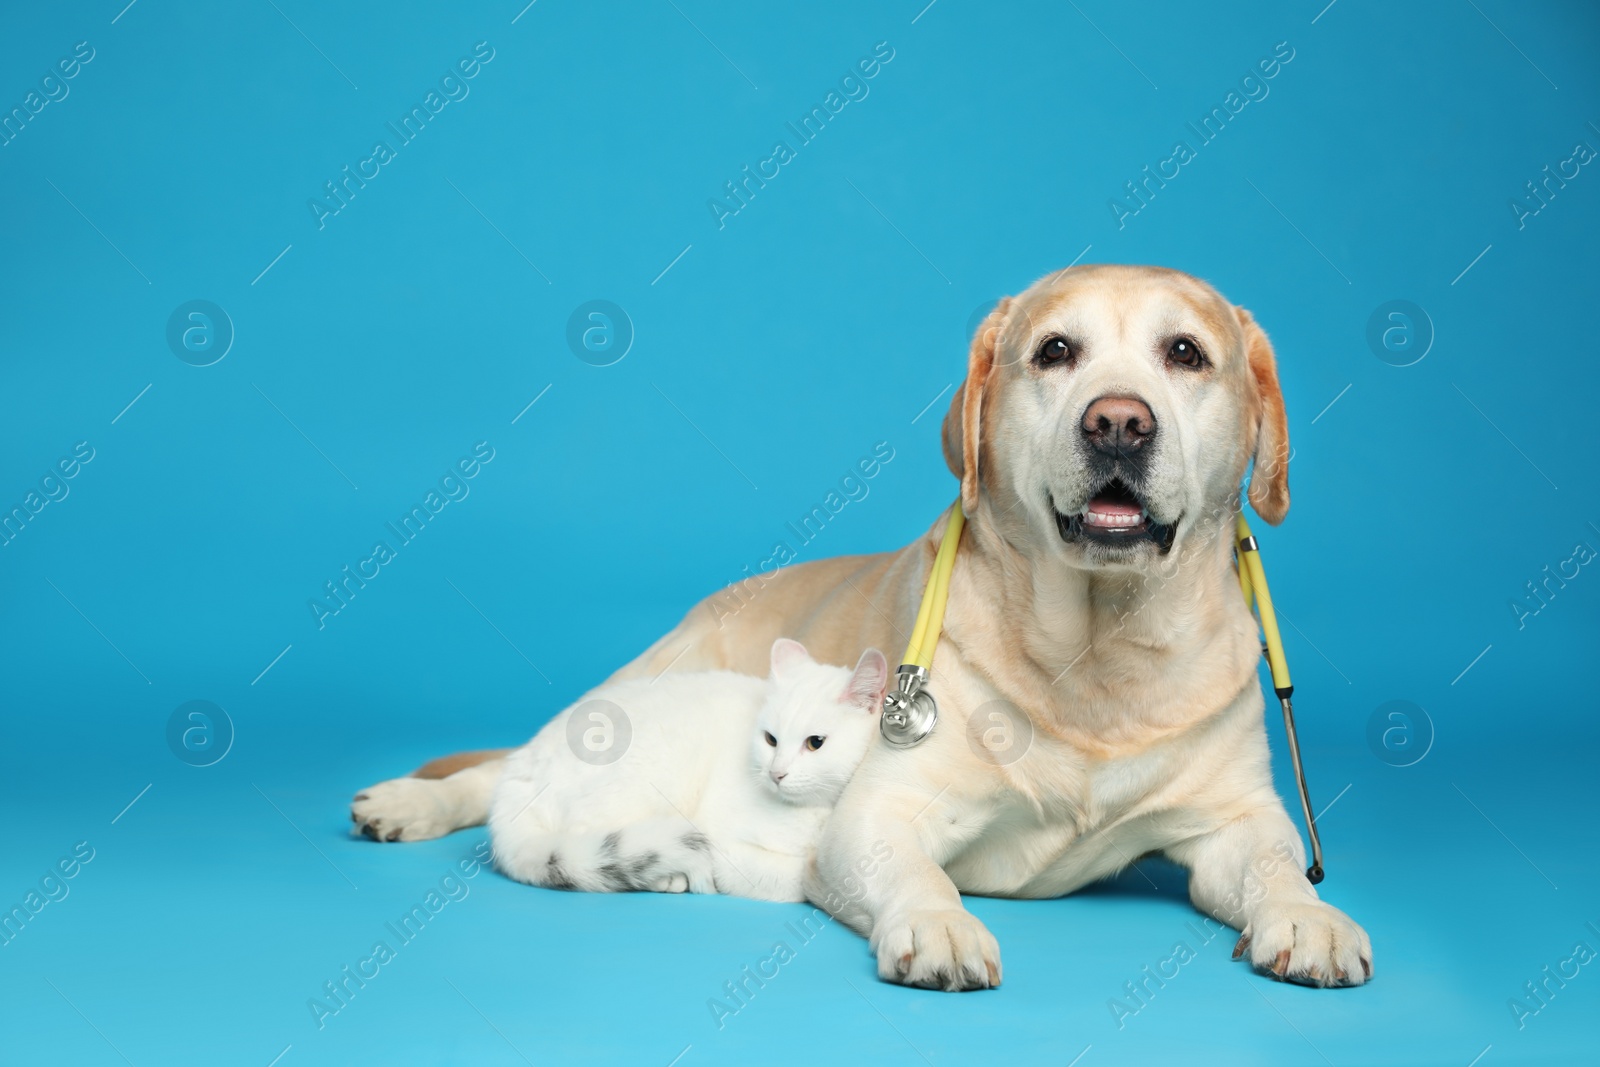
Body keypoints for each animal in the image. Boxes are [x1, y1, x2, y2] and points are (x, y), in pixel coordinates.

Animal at [486, 643, 889, 902]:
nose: (777, 774)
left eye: (815, 743)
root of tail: (518, 768)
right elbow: (796, 881)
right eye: (770, 739)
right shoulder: (728, 844)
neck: (817, 815)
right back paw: (671, 878)